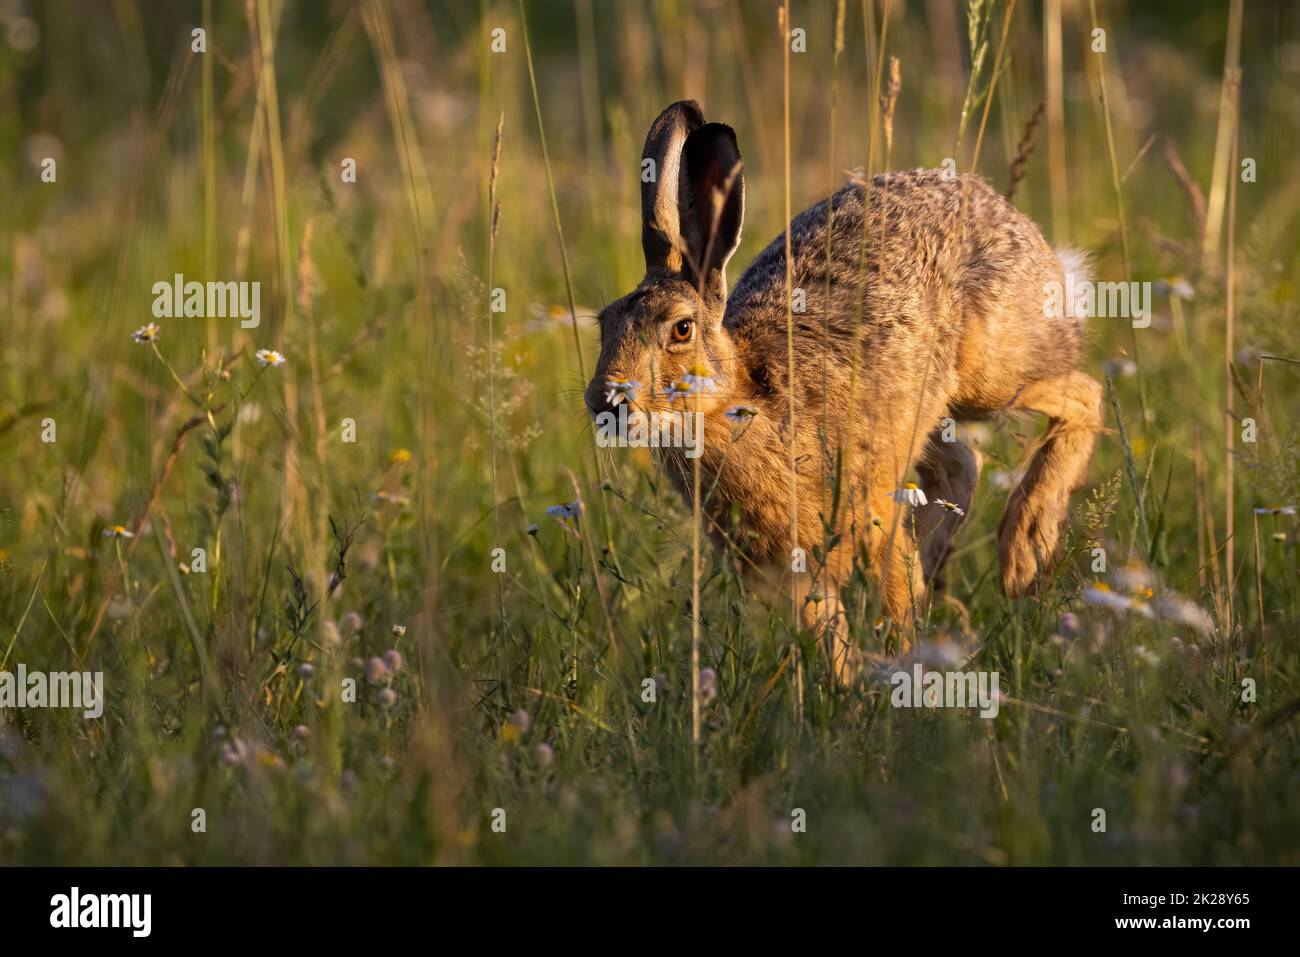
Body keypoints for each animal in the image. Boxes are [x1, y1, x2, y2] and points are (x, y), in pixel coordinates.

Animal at [584, 100, 1102, 684]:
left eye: (681, 329)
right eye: (605, 325)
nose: (605, 402)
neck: (744, 400)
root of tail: (1007, 214)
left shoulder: (873, 519)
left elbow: (895, 604)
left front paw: (904, 679)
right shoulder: (795, 575)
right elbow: (830, 642)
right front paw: (848, 690)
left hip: (992, 375)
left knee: (1084, 393)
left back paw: (1024, 550)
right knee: (962, 464)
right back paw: (941, 563)